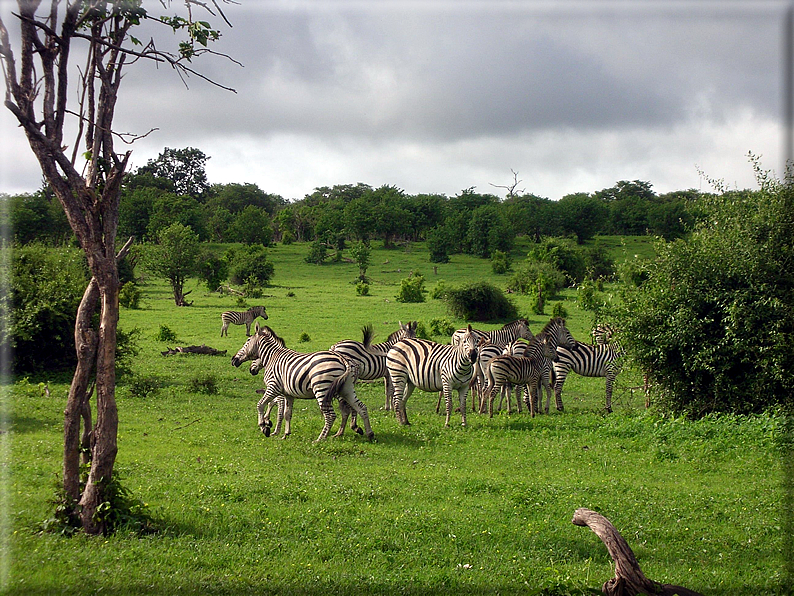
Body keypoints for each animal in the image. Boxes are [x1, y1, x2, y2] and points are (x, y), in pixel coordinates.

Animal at [232, 322, 374, 442]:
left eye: (247, 341)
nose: (233, 360)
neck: (272, 357)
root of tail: (343, 359)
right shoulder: (288, 394)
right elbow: (287, 413)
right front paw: (286, 434)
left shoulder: (273, 387)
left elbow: (261, 405)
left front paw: (264, 427)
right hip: (346, 388)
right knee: (361, 407)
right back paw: (369, 434)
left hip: (322, 388)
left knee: (331, 415)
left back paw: (320, 439)